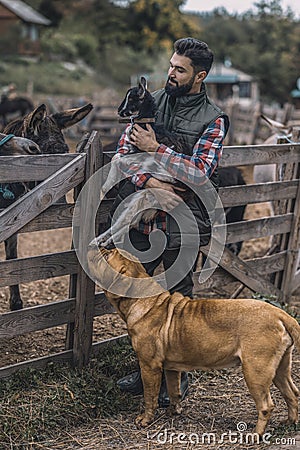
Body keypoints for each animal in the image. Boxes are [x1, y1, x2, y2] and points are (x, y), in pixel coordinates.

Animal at [87, 246, 300, 436]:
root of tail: (281, 315)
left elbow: (150, 396)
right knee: (292, 393)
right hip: (280, 367)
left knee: (266, 405)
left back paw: (256, 434)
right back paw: (289, 422)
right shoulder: (171, 368)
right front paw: (173, 411)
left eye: (106, 256)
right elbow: (174, 391)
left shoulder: (149, 365)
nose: (98, 245)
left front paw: (145, 420)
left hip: (256, 370)